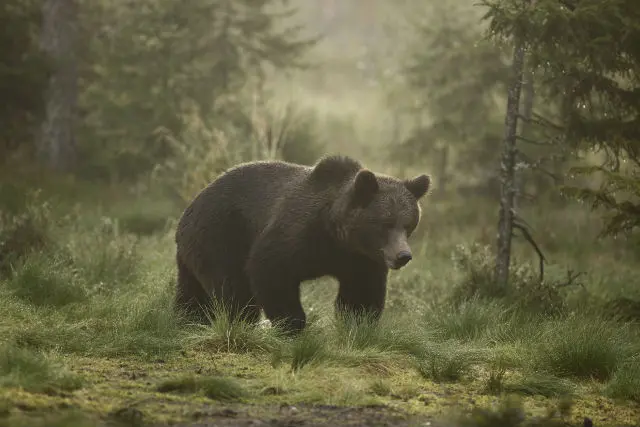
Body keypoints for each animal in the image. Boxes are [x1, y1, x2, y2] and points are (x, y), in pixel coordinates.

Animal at [174, 155, 431, 333]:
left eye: (409, 224)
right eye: (386, 223)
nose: (403, 255)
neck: (338, 237)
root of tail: (190, 207)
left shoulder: (361, 259)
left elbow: (361, 294)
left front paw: (358, 324)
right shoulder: (299, 233)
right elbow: (270, 267)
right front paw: (292, 323)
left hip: (194, 251)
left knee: (192, 292)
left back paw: (187, 319)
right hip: (221, 234)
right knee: (233, 287)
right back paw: (239, 321)